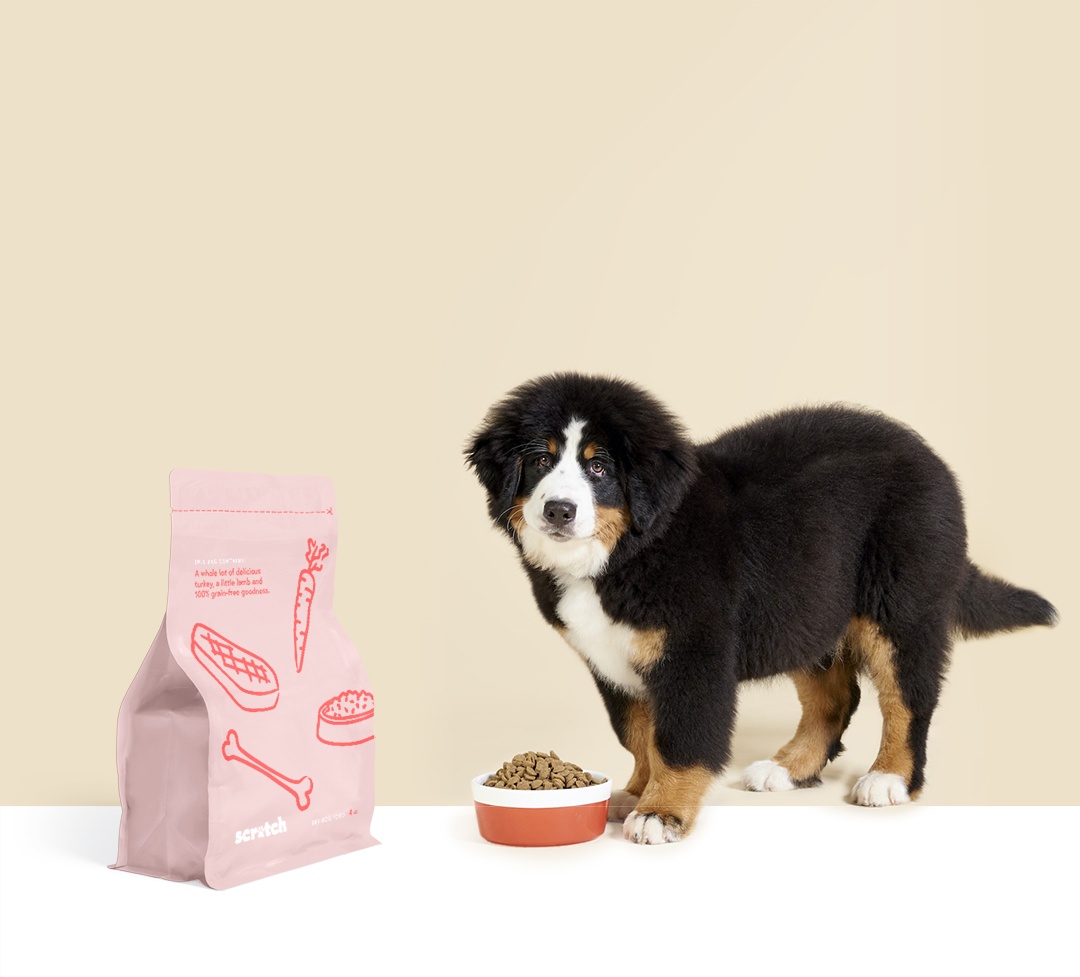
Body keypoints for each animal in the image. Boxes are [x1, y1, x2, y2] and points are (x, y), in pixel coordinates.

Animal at [464, 369, 1054, 842]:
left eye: (600, 468)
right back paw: (788, 768)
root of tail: (928, 457)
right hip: (804, 609)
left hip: (899, 607)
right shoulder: (611, 661)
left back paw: (889, 778)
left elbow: (676, 740)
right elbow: (637, 735)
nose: (559, 510)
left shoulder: (692, 654)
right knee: (835, 699)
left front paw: (661, 812)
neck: (632, 548)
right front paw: (634, 791)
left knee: (906, 699)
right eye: (540, 460)